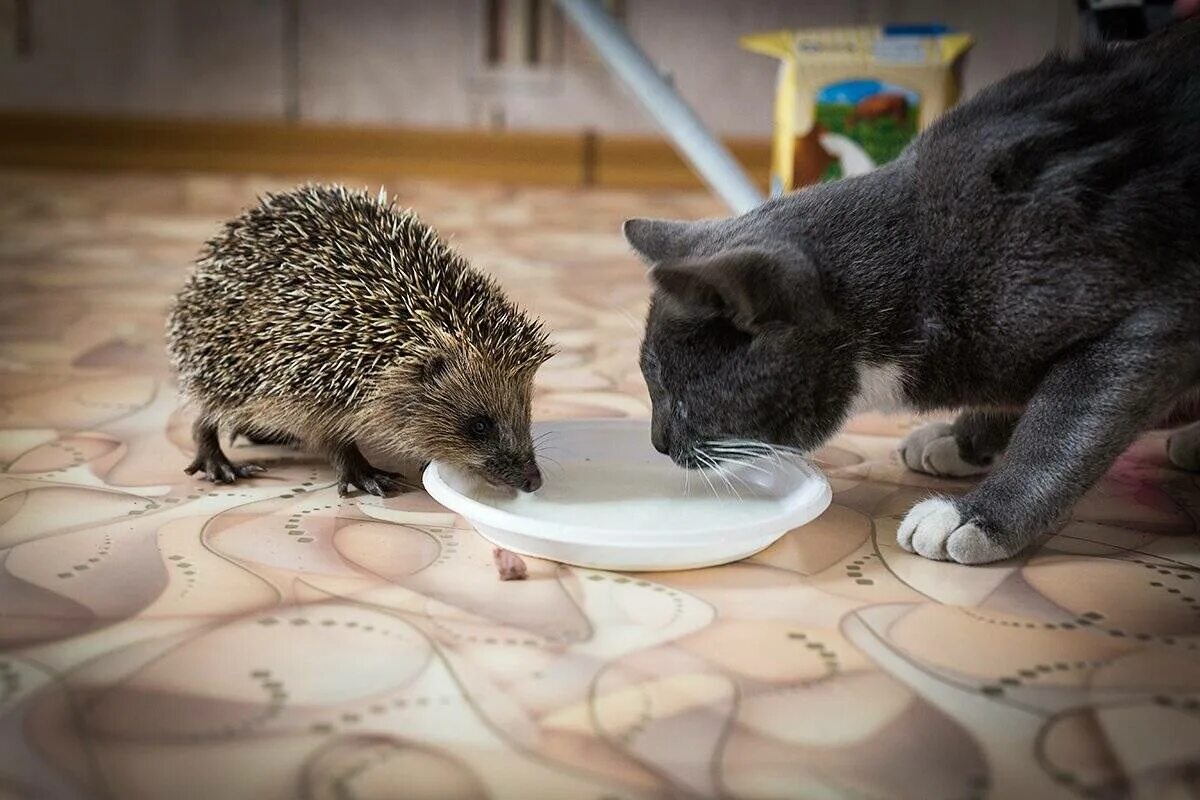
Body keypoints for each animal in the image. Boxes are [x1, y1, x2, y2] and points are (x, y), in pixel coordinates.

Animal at [628, 21, 1200, 566]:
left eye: (678, 394)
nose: (656, 442)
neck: (924, 261)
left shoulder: (1146, 322)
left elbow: (1061, 427)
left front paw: (980, 516)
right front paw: (961, 441)